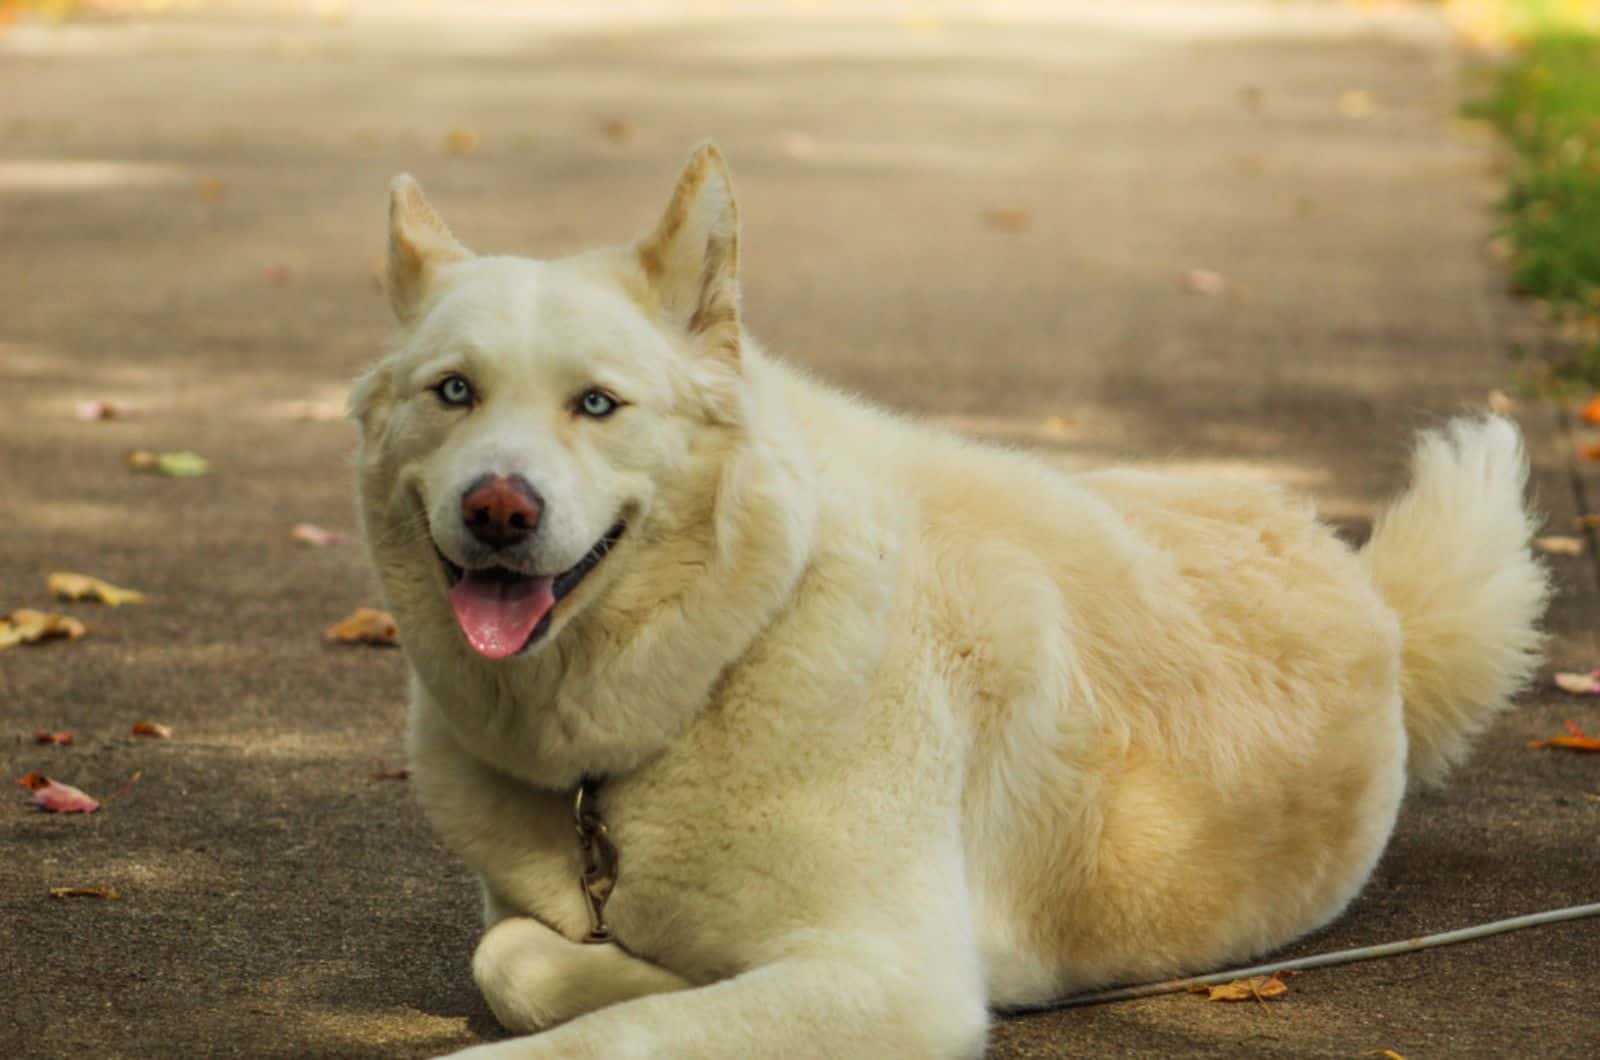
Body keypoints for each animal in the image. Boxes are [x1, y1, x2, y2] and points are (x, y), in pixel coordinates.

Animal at [350, 145, 1548, 1056]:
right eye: (454, 392)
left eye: (596, 404)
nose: (498, 508)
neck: (734, 644)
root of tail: (1370, 593)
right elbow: (510, 955)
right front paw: (654, 968)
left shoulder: (900, 985)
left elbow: (605, 1032)